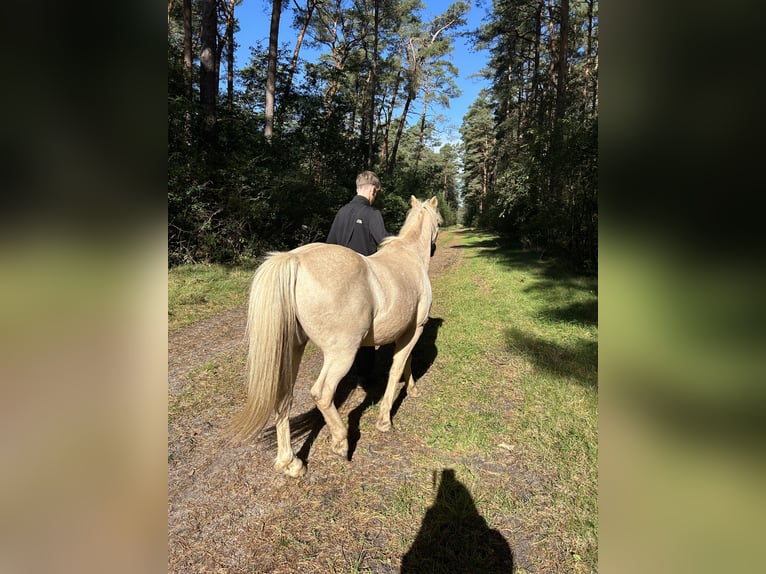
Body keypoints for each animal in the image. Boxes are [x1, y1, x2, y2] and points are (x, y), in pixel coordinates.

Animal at [231, 196, 440, 480]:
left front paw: (412, 389)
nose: (434, 248)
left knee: (283, 396)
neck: (410, 257)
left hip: (293, 349)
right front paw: (385, 420)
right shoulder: (415, 329)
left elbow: (404, 363)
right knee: (322, 393)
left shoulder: (406, 332)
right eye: (439, 221)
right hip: (341, 353)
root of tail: (294, 259)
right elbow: (397, 368)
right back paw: (340, 441)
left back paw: (290, 463)